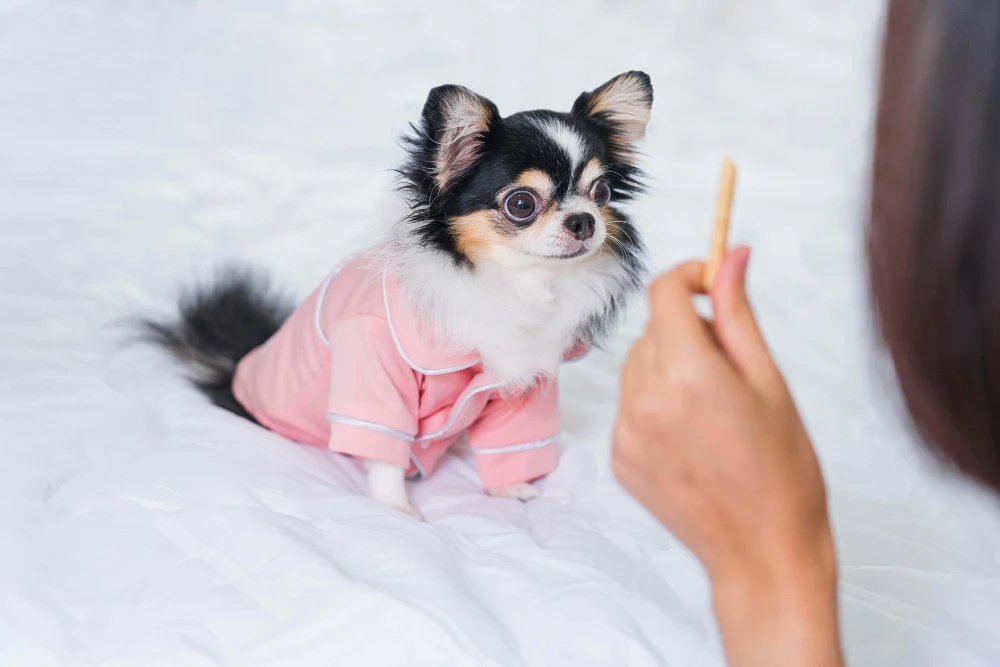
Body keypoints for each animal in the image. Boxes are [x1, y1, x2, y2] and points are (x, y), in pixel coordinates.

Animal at [145, 74, 652, 520]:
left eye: (602, 191)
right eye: (522, 204)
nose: (584, 220)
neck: (513, 283)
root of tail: (235, 367)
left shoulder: (524, 386)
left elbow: (510, 443)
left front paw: (511, 489)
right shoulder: (372, 370)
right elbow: (384, 447)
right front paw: (395, 510)